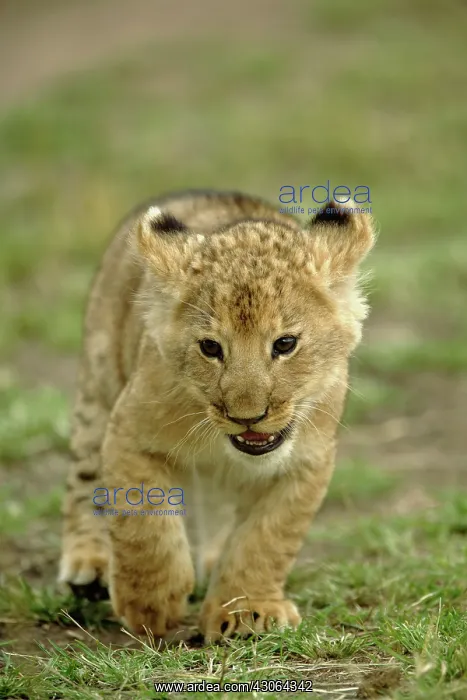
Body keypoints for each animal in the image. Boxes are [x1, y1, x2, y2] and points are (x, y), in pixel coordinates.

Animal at [59, 189, 375, 641]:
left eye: (285, 344)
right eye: (210, 347)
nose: (248, 416)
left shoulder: (308, 463)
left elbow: (267, 538)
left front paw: (247, 611)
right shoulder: (128, 433)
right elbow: (143, 525)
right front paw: (150, 605)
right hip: (99, 384)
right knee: (83, 479)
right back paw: (88, 566)